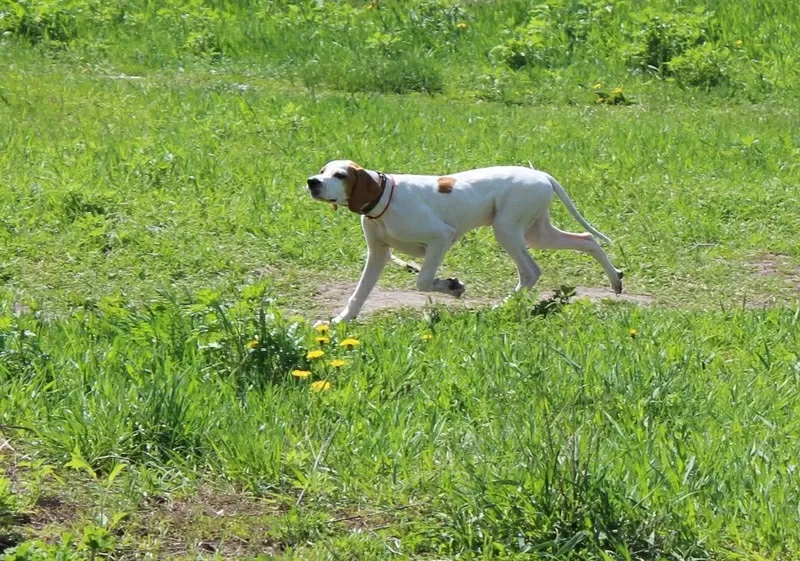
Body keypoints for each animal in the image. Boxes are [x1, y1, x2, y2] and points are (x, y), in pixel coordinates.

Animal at [308, 160, 624, 322]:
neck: (384, 195)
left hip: (507, 230)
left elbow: (423, 281)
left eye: (340, 175)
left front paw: (452, 286)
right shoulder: (377, 254)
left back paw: (501, 307)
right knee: (587, 240)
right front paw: (342, 320)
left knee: (531, 272)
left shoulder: (441, 237)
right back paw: (616, 280)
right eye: (323, 171)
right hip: (537, 233)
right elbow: (359, 293)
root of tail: (541, 175)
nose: (312, 181)